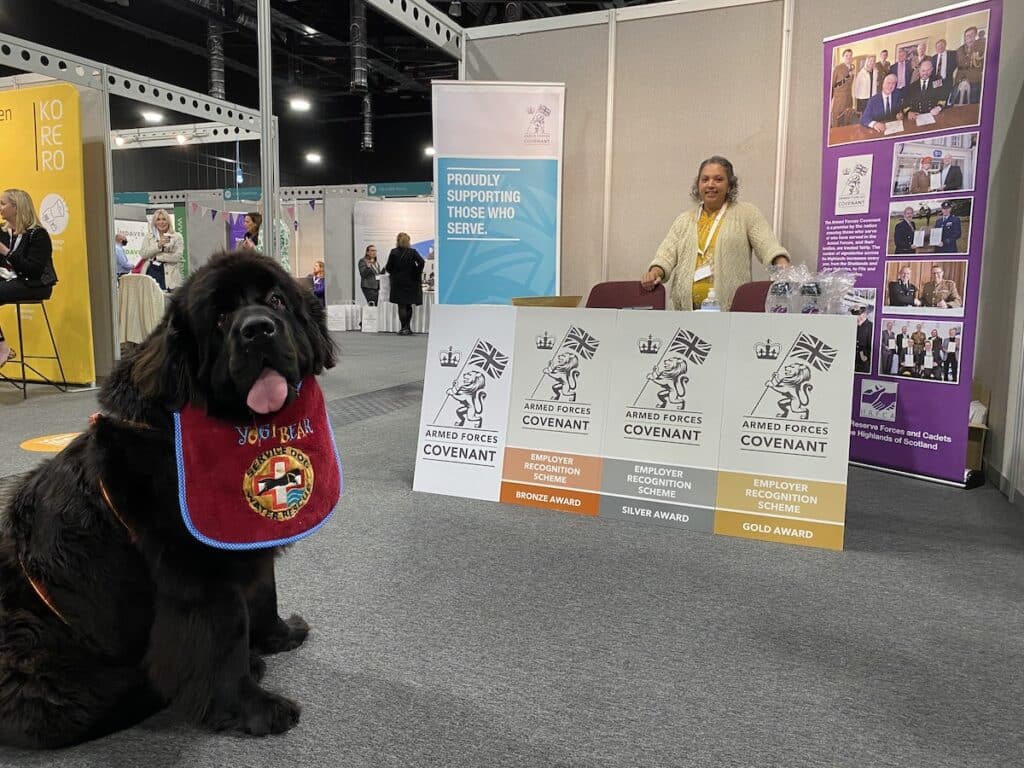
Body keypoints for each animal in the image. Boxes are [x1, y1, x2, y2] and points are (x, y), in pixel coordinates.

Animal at [0, 253, 337, 753]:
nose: (258, 330)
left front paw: (280, 635)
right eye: (220, 317)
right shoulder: (197, 569)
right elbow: (226, 633)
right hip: (39, 656)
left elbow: (263, 591)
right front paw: (254, 708)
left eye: (276, 300)